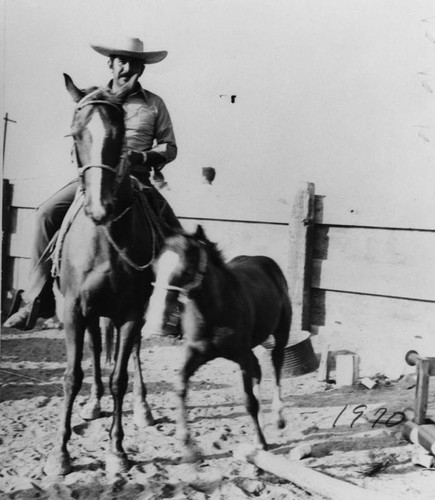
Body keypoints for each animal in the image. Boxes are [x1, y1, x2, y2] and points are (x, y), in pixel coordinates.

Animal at [44, 74, 159, 476]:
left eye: (119, 132)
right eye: (76, 133)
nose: (99, 207)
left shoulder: (130, 313)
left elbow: (119, 378)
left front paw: (116, 449)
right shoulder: (73, 310)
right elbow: (71, 376)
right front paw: (60, 454)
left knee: (134, 353)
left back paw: (143, 409)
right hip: (91, 313)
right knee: (94, 348)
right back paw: (92, 403)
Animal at [145, 227, 292, 460]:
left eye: (186, 270)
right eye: (155, 267)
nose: (156, 320)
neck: (215, 309)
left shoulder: (241, 355)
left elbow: (249, 401)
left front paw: (261, 443)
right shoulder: (196, 351)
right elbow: (180, 385)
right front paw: (185, 442)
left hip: (281, 332)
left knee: (277, 362)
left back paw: (278, 418)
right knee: (258, 370)